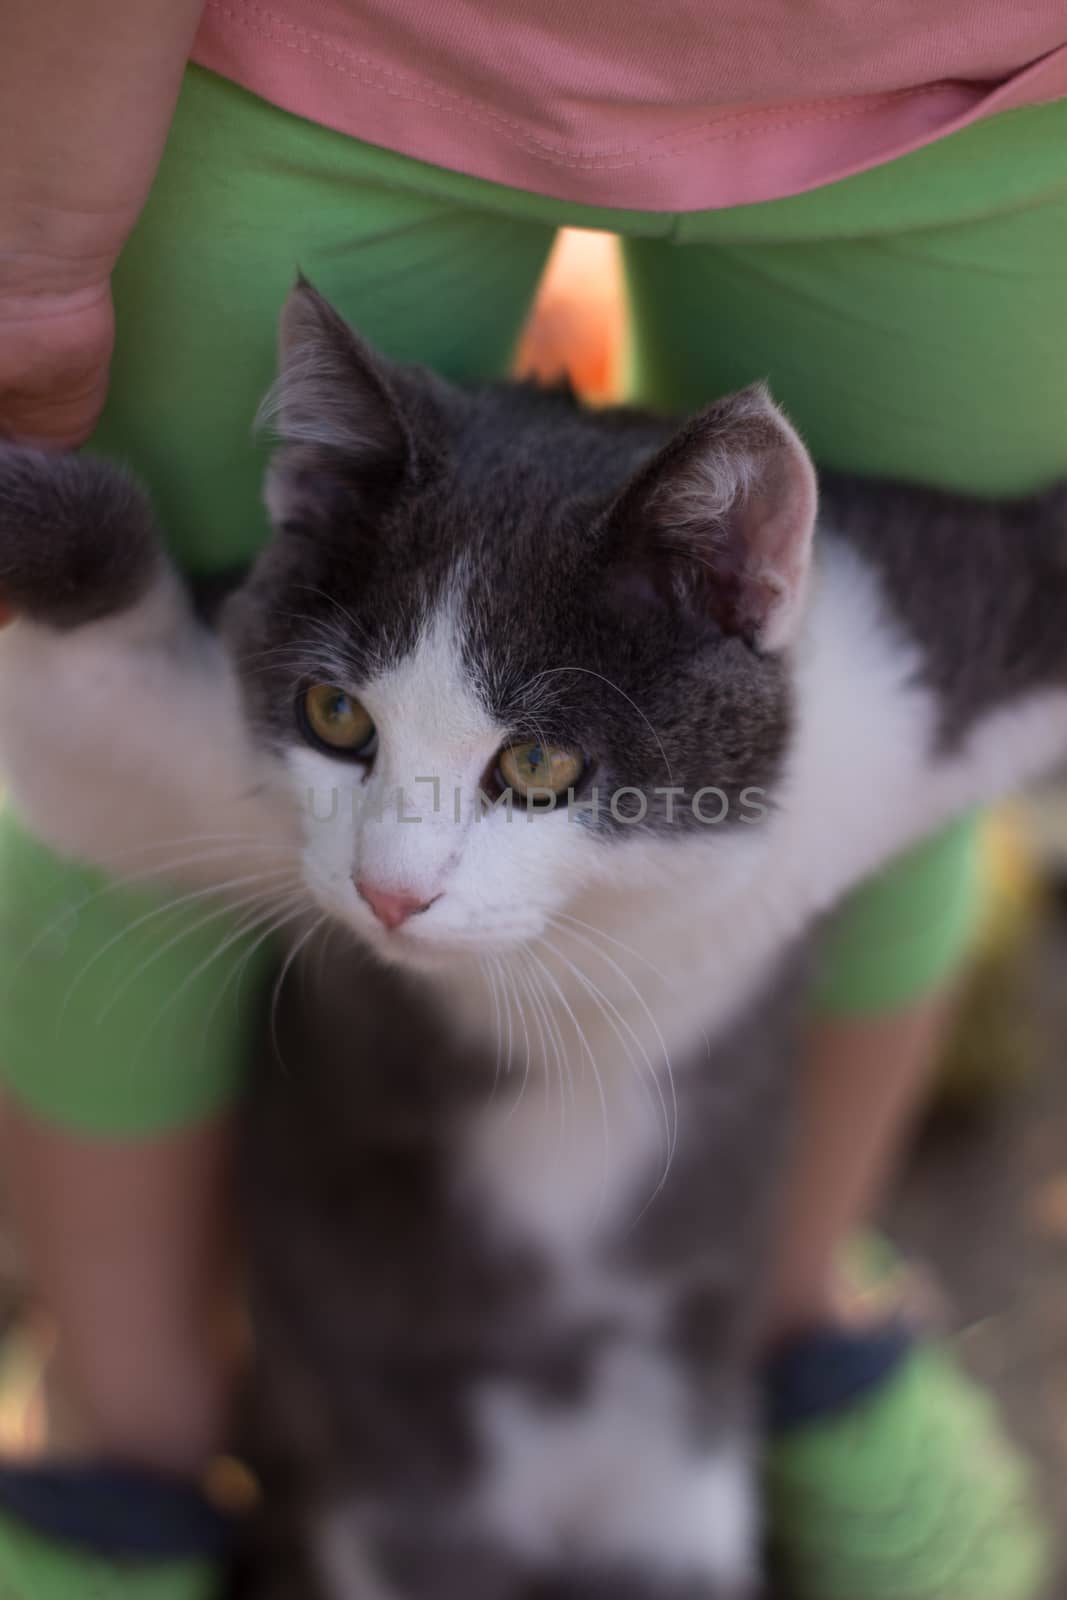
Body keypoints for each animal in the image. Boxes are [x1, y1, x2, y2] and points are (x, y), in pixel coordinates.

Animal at [2, 281, 1067, 1593]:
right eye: (333, 713)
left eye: (541, 762)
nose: (388, 895)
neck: (619, 926)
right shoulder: (211, 775)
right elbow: (98, 739)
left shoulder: (883, 699)